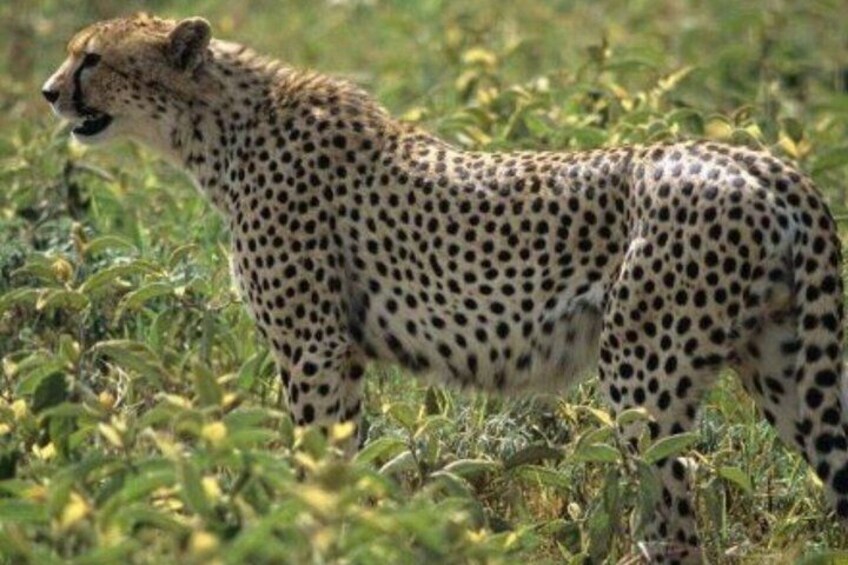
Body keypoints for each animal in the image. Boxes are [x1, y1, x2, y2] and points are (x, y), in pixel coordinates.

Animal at [43, 13, 848, 563]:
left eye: (92, 58)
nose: (49, 93)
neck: (220, 127)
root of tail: (766, 163)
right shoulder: (340, 356)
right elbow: (345, 463)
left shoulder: (313, 350)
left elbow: (315, 466)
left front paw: (308, 534)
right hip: (788, 372)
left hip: (644, 375)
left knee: (675, 511)